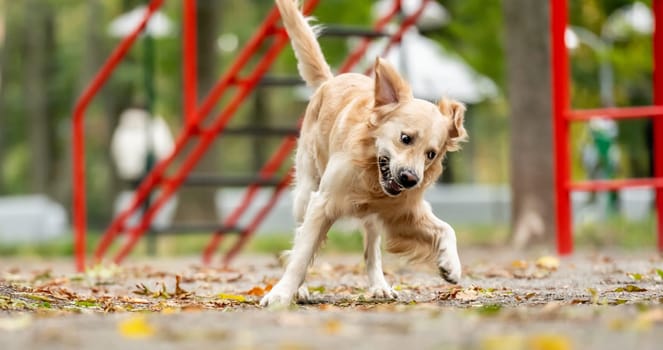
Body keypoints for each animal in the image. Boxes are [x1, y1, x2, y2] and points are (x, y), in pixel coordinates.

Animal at [262, 0, 470, 306]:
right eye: (405, 138)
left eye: (431, 154)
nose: (410, 179)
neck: (370, 170)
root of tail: (329, 82)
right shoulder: (322, 203)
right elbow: (301, 255)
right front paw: (282, 293)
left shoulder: (403, 212)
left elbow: (447, 228)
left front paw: (450, 265)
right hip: (305, 190)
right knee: (298, 236)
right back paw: (301, 289)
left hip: (372, 219)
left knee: (372, 250)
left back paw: (379, 286)